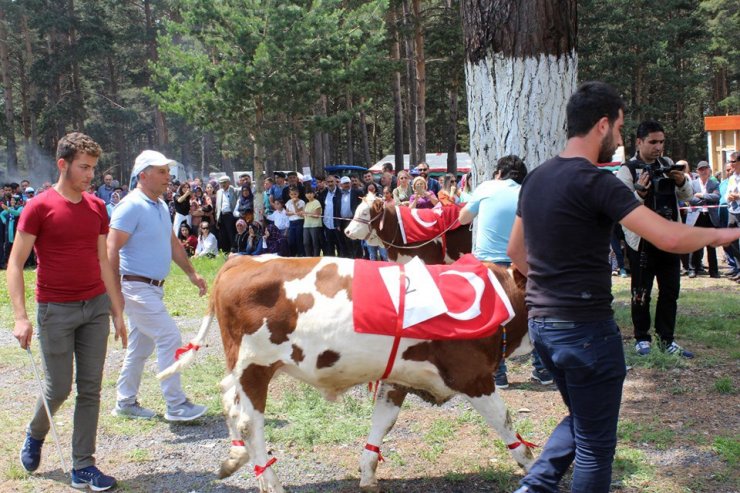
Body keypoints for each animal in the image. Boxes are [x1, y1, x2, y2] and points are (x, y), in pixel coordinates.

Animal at [160, 254, 532, 492]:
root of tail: (242, 259)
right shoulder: (474, 375)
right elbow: (504, 421)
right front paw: (528, 462)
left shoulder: (397, 377)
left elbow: (383, 422)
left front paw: (367, 473)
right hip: (256, 365)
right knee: (248, 423)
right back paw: (271, 483)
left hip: (243, 367)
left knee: (227, 396)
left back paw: (235, 458)